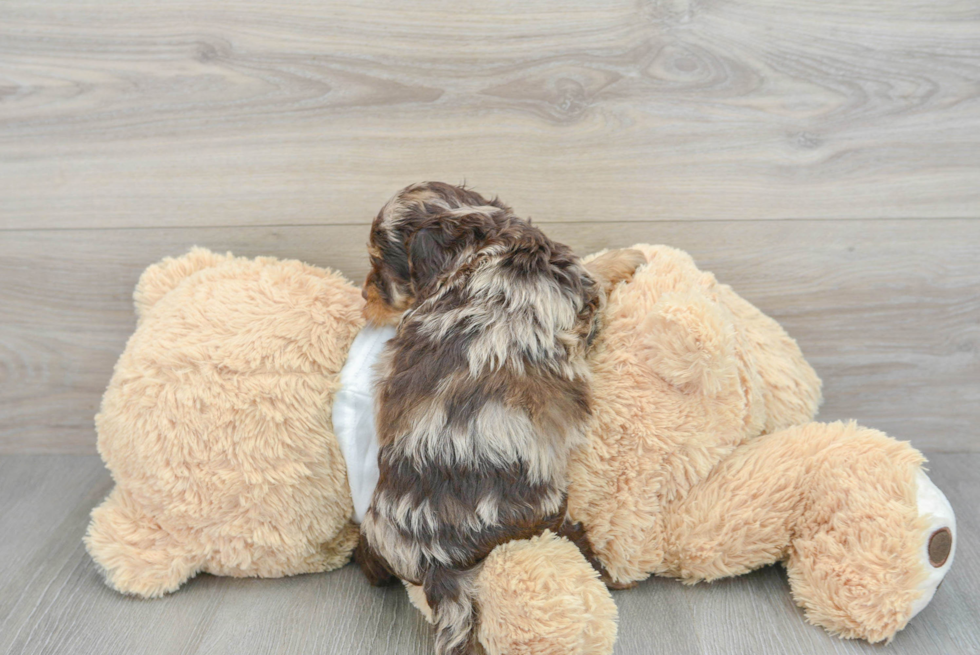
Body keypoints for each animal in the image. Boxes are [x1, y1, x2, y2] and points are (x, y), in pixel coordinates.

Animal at [360, 183, 644, 655]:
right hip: (540, 512)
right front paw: (626, 257)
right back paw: (617, 575)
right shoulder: (581, 299)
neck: (482, 242)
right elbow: (594, 273)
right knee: (572, 541)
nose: (364, 297)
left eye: (381, 269)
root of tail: (434, 564)